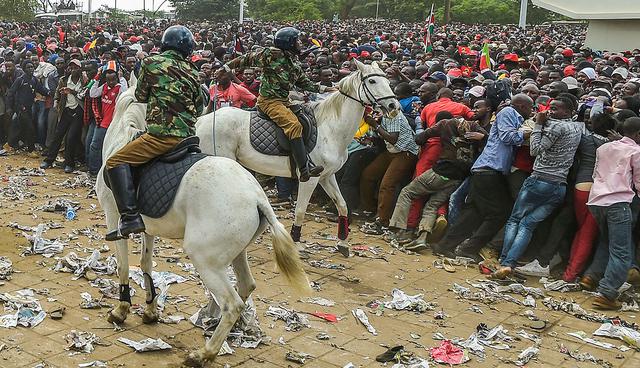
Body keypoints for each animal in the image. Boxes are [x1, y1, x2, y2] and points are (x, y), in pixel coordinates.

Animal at [95, 73, 312, 366]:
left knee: (232, 303)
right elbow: (146, 264)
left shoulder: (114, 217)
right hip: (235, 252)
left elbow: (123, 266)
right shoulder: (146, 227)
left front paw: (121, 309)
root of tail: (258, 197)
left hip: (205, 258)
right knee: (246, 286)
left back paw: (204, 352)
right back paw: (215, 325)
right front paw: (150, 310)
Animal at [195, 60, 398, 249]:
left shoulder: (327, 176)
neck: (332, 128)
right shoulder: (310, 178)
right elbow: (300, 210)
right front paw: (296, 241)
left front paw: (342, 242)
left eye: (388, 81)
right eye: (372, 81)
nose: (393, 105)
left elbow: (342, 205)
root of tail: (201, 121)